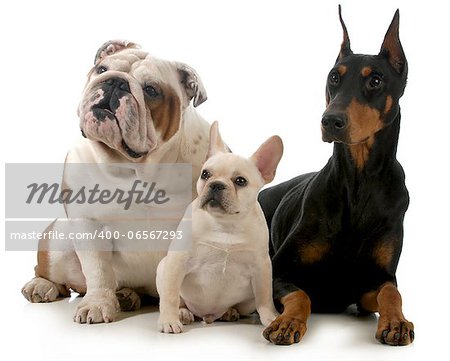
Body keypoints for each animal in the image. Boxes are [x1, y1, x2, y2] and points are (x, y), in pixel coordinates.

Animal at [21, 40, 211, 324]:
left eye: (151, 90)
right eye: (102, 69)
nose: (115, 82)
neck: (132, 167)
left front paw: (177, 310)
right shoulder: (87, 224)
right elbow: (98, 270)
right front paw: (97, 305)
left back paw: (129, 296)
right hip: (58, 239)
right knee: (53, 272)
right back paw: (43, 285)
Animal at [156, 121, 284, 332]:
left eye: (240, 181)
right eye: (205, 174)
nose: (216, 184)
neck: (225, 223)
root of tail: (207, 315)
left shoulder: (262, 267)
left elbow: (265, 298)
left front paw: (271, 317)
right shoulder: (177, 261)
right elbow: (170, 295)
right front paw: (169, 320)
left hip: (248, 300)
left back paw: (229, 312)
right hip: (162, 268)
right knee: (179, 300)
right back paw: (183, 313)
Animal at [258, 7, 414, 346]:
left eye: (376, 80)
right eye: (334, 77)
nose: (331, 121)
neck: (359, 180)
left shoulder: (371, 282)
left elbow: (392, 292)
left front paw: (396, 323)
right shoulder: (279, 270)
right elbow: (301, 295)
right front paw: (287, 322)